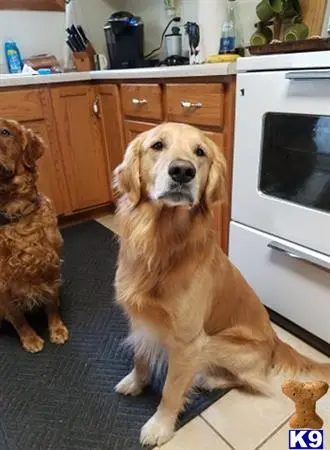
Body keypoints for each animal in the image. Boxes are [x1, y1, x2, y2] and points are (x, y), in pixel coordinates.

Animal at [0, 118, 68, 352]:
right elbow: (17, 317)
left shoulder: (50, 265)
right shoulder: (2, 284)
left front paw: (57, 329)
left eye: (5, 132)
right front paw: (29, 338)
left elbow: (51, 304)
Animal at [113, 122, 328, 446]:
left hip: (214, 344)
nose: (182, 171)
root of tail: (276, 340)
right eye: (157, 145)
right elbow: (141, 355)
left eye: (200, 152)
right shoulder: (140, 319)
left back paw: (206, 378)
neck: (161, 244)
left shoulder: (188, 342)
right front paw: (135, 381)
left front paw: (160, 426)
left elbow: (171, 391)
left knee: (251, 381)